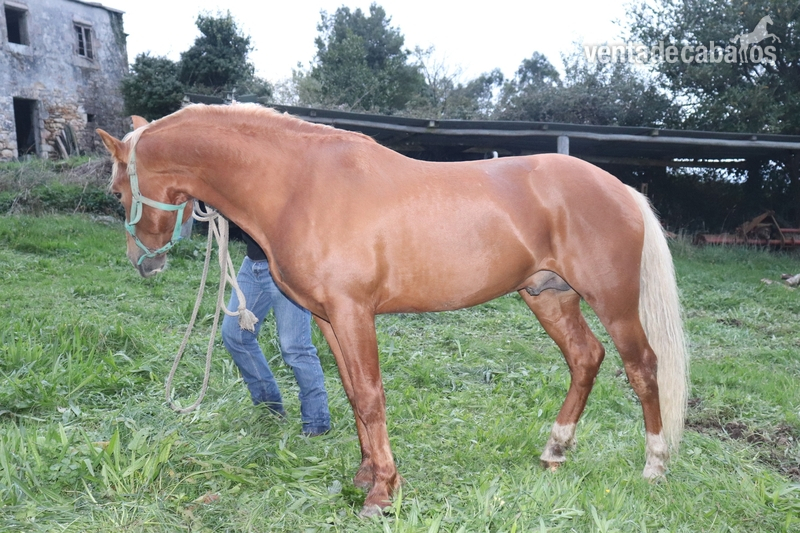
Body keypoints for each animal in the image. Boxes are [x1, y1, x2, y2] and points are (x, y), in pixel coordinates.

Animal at [97, 103, 688, 518]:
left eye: (118, 190)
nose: (143, 264)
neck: (299, 184)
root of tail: (621, 188)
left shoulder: (353, 312)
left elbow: (371, 397)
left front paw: (382, 493)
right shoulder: (329, 319)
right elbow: (353, 395)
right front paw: (366, 475)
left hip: (612, 302)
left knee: (642, 368)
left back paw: (655, 466)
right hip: (549, 295)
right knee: (585, 358)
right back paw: (555, 450)